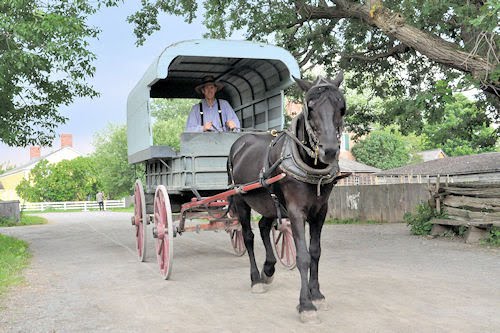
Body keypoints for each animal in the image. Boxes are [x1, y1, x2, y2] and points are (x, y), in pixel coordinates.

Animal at [228, 72, 348, 322]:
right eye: (310, 107)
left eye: (341, 107)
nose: (330, 150)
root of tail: (240, 142)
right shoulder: (295, 211)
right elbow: (302, 256)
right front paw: (305, 305)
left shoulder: (320, 211)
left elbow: (315, 252)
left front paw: (317, 294)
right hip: (241, 199)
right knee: (248, 236)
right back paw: (256, 278)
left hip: (269, 202)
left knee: (264, 227)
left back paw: (269, 268)